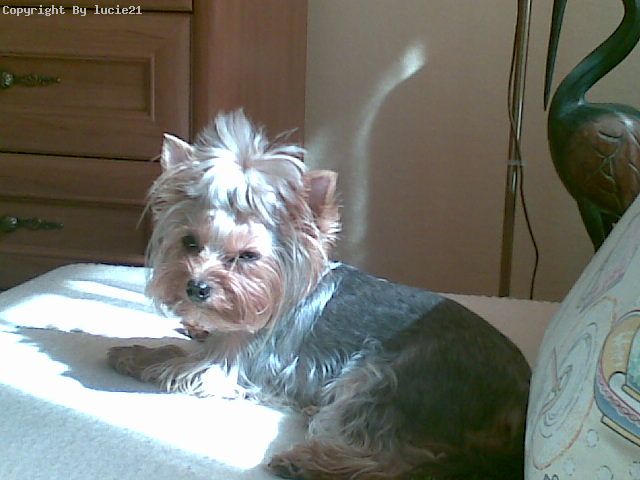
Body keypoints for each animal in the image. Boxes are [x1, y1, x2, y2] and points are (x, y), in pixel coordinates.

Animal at [108, 110, 531, 480]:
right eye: (190, 242)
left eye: (247, 257)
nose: (196, 287)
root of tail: (518, 395)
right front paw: (186, 329)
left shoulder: (234, 363)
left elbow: (177, 362)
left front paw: (132, 354)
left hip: (390, 383)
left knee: (399, 460)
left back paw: (307, 462)